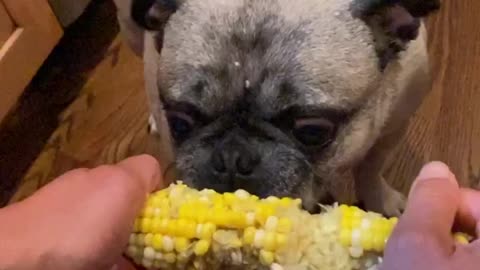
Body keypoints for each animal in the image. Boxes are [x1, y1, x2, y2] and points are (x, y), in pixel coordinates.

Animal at [111, 0, 438, 216]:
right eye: (180, 123)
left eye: (313, 131)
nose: (232, 157)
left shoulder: (394, 124)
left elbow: (370, 167)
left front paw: (379, 201)